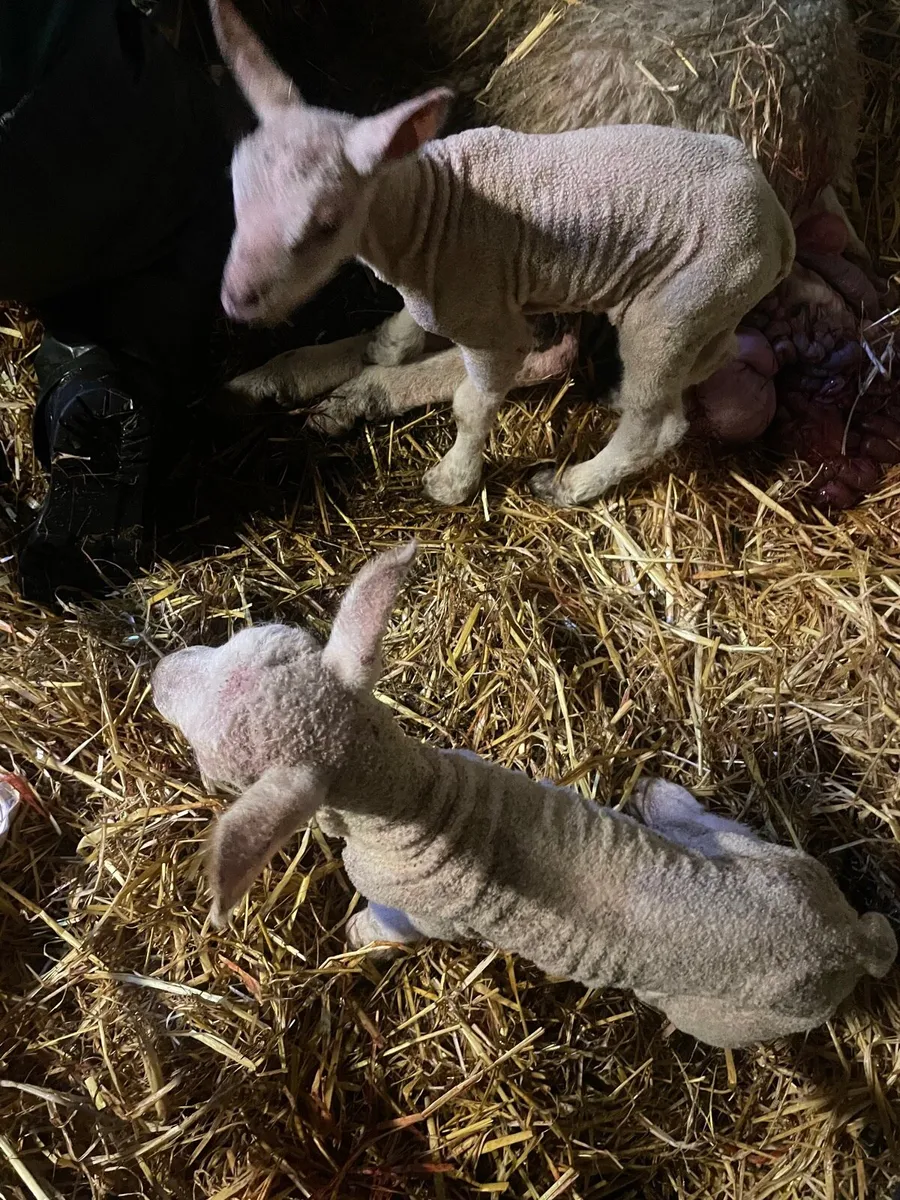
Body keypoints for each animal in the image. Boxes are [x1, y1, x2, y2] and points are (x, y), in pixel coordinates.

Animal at [151, 540, 897, 1050]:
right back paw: (660, 798)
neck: (413, 799)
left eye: (220, 763)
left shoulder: (422, 914)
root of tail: (847, 940)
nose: (159, 674)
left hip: (726, 1017)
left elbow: (390, 929)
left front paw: (357, 935)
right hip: (781, 863)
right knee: (718, 829)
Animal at [210, 0, 795, 507]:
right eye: (233, 189)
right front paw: (388, 344)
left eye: (325, 224)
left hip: (675, 306)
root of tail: (777, 222)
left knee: (656, 424)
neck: (427, 212)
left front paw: (452, 483)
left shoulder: (492, 326)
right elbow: (406, 325)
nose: (235, 301)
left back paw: (570, 484)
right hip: (711, 306)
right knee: (707, 358)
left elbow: (472, 404)